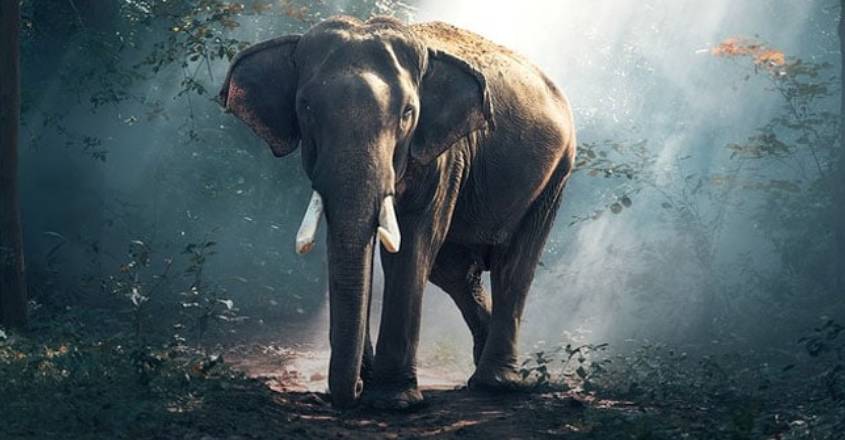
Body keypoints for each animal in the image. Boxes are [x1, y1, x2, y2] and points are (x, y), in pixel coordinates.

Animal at [218, 15, 576, 409]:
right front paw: (370, 383)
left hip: (556, 173)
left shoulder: (444, 154)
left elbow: (412, 245)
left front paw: (393, 401)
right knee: (454, 271)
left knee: (513, 265)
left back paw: (499, 383)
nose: (354, 390)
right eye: (306, 108)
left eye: (407, 113)